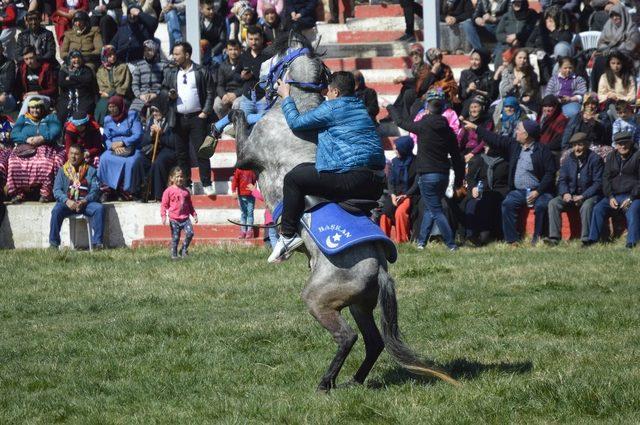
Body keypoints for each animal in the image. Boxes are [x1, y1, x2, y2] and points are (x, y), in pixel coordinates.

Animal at [229, 33, 456, 390]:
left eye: (268, 56)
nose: (252, 80)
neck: (299, 107)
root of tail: (378, 269)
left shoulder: (247, 155)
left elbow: (238, 120)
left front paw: (233, 107)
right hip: (360, 305)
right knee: (374, 341)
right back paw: (354, 380)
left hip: (319, 300)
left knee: (347, 337)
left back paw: (326, 382)